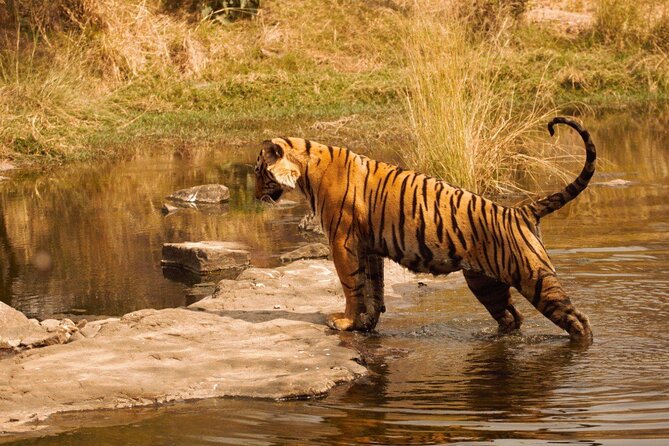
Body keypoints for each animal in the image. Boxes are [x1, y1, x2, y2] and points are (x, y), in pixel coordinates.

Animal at [254, 117, 596, 343]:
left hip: (534, 278)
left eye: (259, 172)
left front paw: (346, 322)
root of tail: (520, 211)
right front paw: (366, 323)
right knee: (513, 316)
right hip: (485, 282)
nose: (255, 196)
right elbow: (373, 289)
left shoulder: (342, 242)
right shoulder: (368, 247)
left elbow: (351, 286)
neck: (306, 168)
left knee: (578, 321)